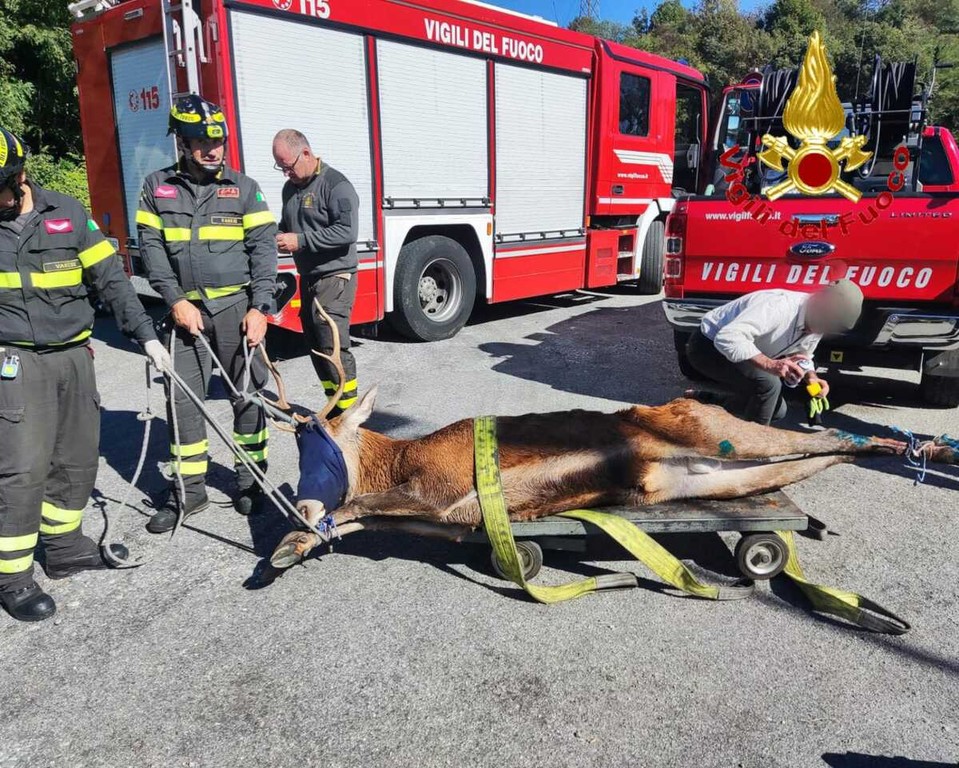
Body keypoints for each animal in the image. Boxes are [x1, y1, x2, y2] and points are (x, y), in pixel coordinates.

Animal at [268, 303, 959, 570]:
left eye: (324, 440)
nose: (298, 498)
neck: (401, 458)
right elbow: (352, 519)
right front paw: (291, 546)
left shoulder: (446, 493)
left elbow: (363, 509)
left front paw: (288, 542)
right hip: (719, 476)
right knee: (826, 453)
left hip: (732, 437)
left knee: (840, 437)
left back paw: (924, 447)